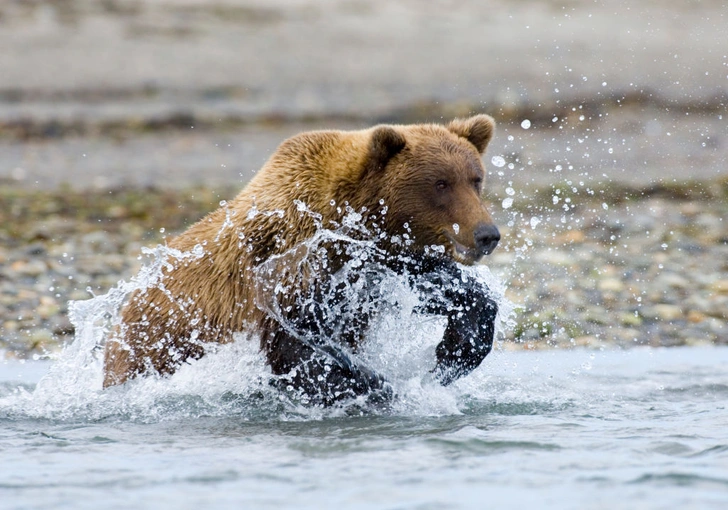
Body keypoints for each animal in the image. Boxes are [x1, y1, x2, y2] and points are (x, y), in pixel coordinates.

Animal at [102, 115, 500, 406]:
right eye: (440, 183)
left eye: (475, 179)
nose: (487, 234)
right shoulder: (287, 264)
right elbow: (296, 347)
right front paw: (373, 386)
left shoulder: (379, 265)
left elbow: (446, 291)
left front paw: (454, 353)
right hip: (157, 347)